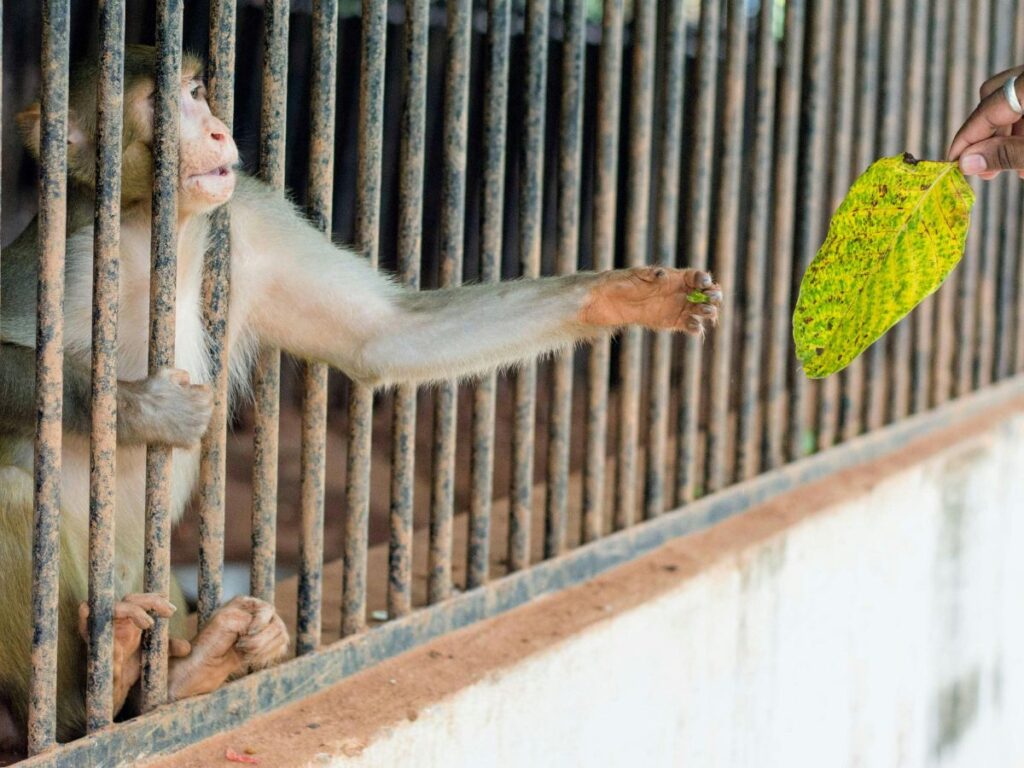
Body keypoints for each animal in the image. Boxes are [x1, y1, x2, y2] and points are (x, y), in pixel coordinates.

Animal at [0, 45, 720, 749]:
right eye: (159, 102)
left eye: (197, 92)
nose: (218, 131)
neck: (152, 231)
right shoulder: (64, 257)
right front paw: (144, 408)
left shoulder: (247, 217)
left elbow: (383, 335)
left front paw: (632, 294)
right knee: (13, 490)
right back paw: (87, 697)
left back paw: (190, 671)